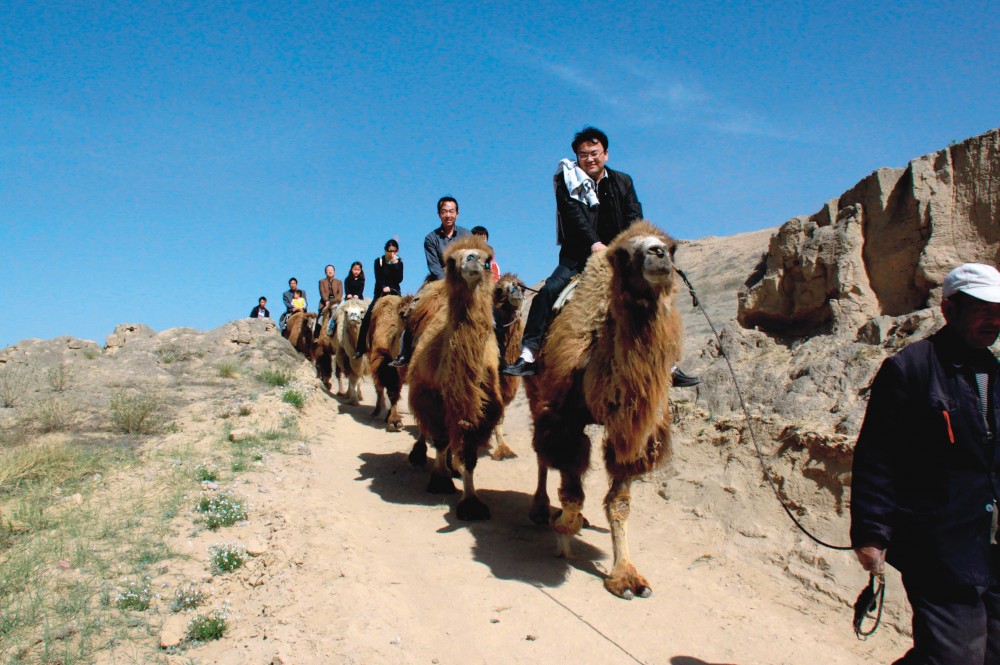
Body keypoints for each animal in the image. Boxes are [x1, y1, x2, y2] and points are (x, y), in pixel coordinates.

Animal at [366, 294, 412, 430]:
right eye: (402, 314)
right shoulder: (383, 362)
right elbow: (392, 392)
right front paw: (394, 421)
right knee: (379, 389)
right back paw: (376, 411)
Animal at [404, 236, 500, 520]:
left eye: (488, 260)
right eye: (450, 261)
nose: (473, 260)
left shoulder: (483, 409)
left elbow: (469, 453)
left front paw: (471, 502)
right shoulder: (430, 397)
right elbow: (440, 439)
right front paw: (440, 481)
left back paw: (452, 466)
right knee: (426, 430)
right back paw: (420, 455)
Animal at [524, 220, 680, 600]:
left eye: (673, 247)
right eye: (622, 254)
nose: (659, 255)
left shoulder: (630, 430)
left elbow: (619, 503)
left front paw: (627, 577)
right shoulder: (564, 416)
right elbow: (572, 491)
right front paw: (563, 528)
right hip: (535, 391)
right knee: (541, 456)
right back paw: (541, 509)